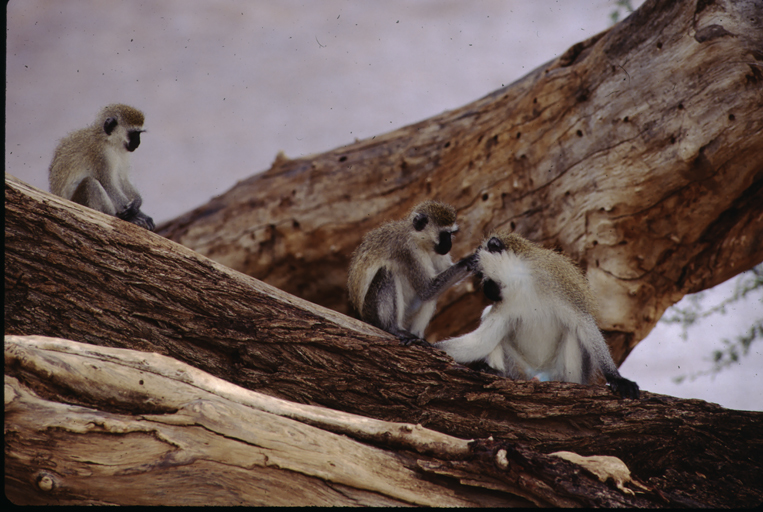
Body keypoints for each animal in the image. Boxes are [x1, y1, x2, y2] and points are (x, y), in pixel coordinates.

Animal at [348, 200, 478, 344]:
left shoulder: (437, 252)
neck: (419, 240)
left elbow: (433, 287)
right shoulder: (408, 250)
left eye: (450, 234)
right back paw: (392, 328)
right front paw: (470, 260)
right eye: (444, 234)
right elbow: (427, 288)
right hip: (371, 312)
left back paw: (419, 338)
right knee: (386, 273)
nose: (449, 245)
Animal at [432, 232, 640, 400]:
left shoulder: (557, 282)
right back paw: (497, 373)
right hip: (520, 369)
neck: (522, 281)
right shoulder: (506, 303)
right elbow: (483, 340)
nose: (486, 290)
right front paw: (428, 345)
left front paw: (616, 378)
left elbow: (583, 324)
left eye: (480, 274)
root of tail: (540, 374)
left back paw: (570, 383)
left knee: (572, 331)